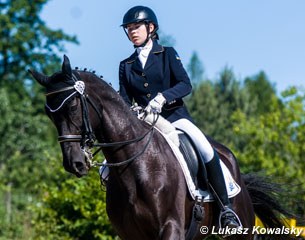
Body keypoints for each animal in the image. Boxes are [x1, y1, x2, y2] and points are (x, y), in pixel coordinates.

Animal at [28, 55, 294, 239]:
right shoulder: (130, 234)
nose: (74, 163)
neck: (136, 166)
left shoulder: (170, 227)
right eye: (49, 114)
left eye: (73, 106)